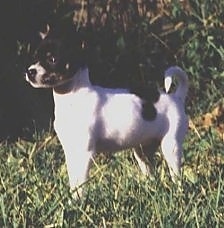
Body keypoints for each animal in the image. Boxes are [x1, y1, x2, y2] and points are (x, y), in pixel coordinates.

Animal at [25, 25, 188, 192]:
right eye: (35, 57)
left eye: (52, 59)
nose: (30, 71)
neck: (72, 97)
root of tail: (177, 97)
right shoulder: (71, 152)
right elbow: (73, 181)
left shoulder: (84, 153)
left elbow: (80, 183)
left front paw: (78, 198)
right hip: (142, 151)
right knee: (150, 171)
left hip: (171, 147)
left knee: (176, 176)